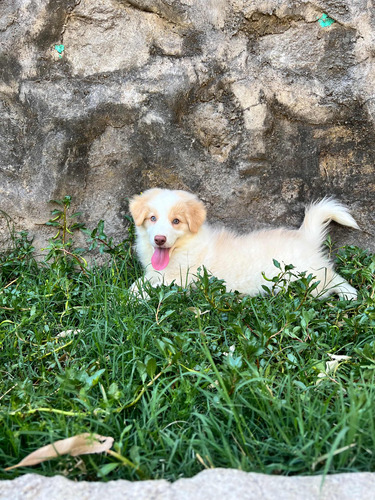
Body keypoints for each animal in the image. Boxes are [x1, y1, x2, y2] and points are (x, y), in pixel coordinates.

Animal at [129, 188, 358, 298]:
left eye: (176, 221)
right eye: (152, 218)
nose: (159, 239)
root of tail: (306, 237)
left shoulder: (182, 279)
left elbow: (154, 287)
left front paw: (133, 298)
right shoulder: (155, 273)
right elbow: (141, 282)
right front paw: (131, 292)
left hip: (306, 279)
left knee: (332, 277)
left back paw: (350, 294)